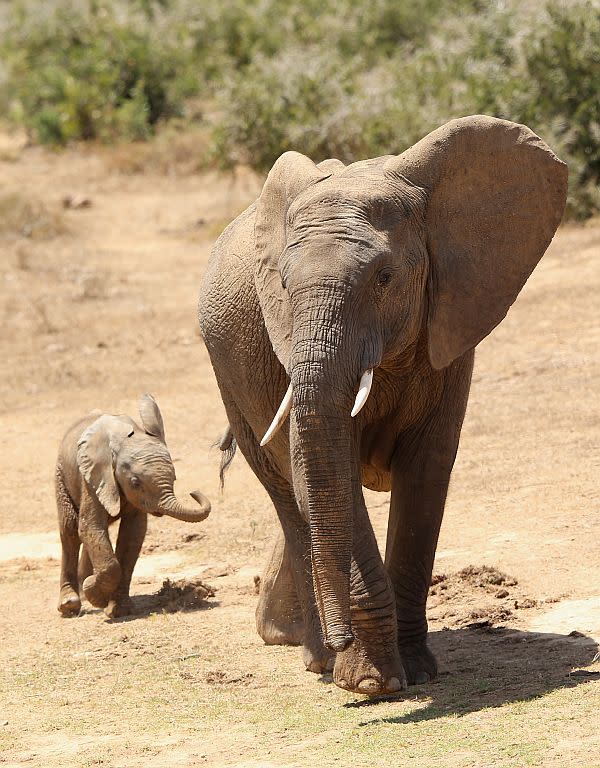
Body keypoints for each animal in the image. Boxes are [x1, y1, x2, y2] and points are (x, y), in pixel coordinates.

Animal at [56, 396, 211, 616]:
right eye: (135, 482)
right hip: (61, 474)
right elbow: (90, 526)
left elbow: (133, 534)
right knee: (70, 530)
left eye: (174, 478)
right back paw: (70, 604)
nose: (194, 492)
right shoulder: (93, 477)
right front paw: (96, 596)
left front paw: (117, 608)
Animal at [198, 115, 568, 696]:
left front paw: (415, 671)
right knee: (287, 492)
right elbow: (329, 470)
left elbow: (426, 470)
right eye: (282, 284)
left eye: (385, 278)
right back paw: (316, 657)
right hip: (227, 373)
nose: (343, 639)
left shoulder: (449, 326)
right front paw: (372, 683)